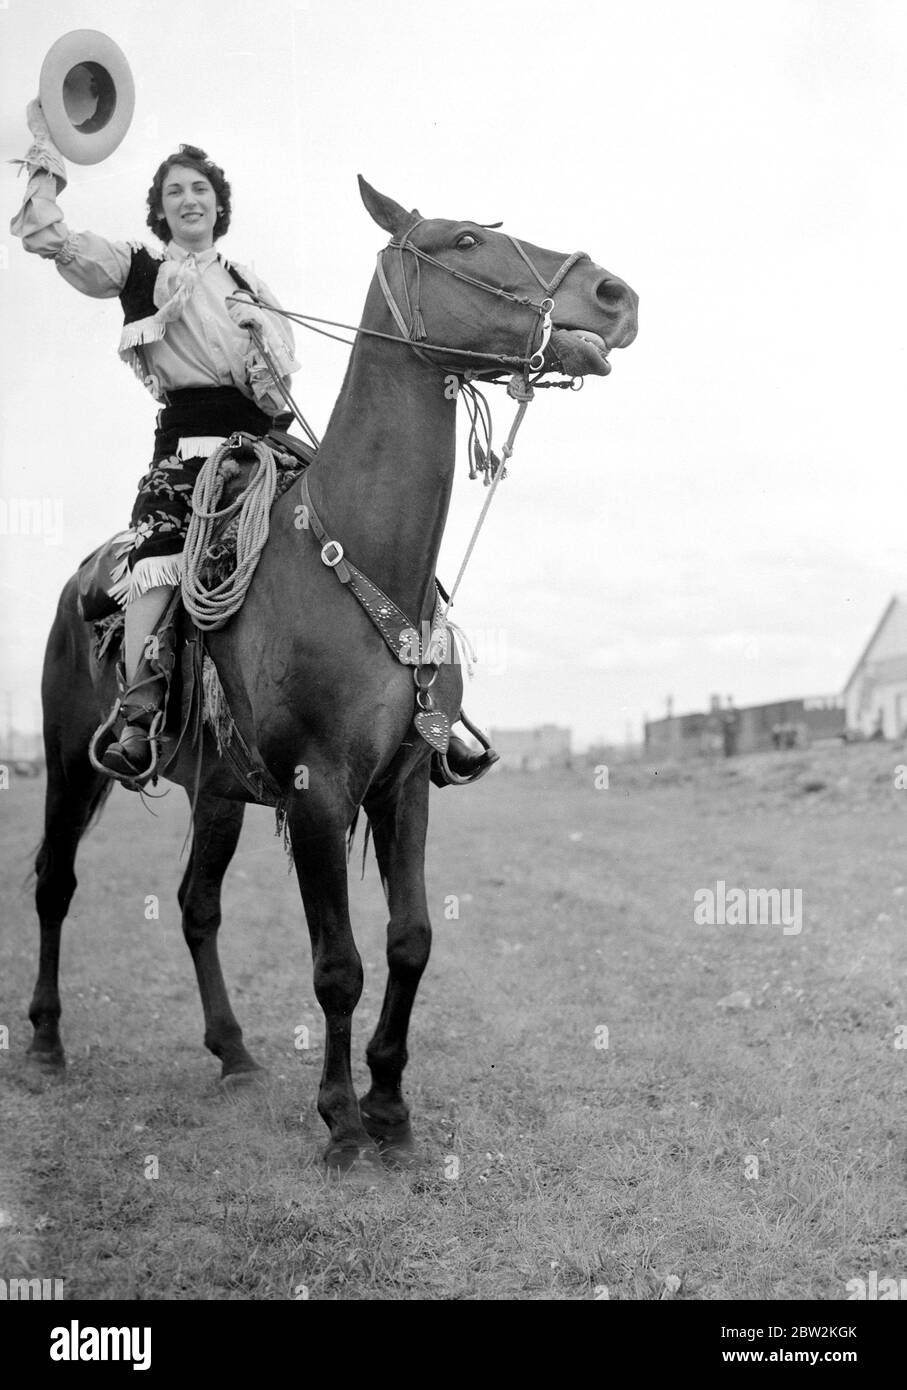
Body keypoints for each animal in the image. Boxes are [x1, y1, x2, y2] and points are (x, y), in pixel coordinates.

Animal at [28, 179, 636, 1178]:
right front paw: (343, 1121)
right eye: (462, 241)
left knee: (196, 907)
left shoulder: (403, 786)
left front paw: (389, 1103)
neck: (360, 557)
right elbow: (338, 964)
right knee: (54, 882)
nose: (615, 296)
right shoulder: (319, 791)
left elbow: (410, 941)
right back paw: (44, 1041)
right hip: (71, 764)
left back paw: (233, 1053)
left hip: (217, 791)